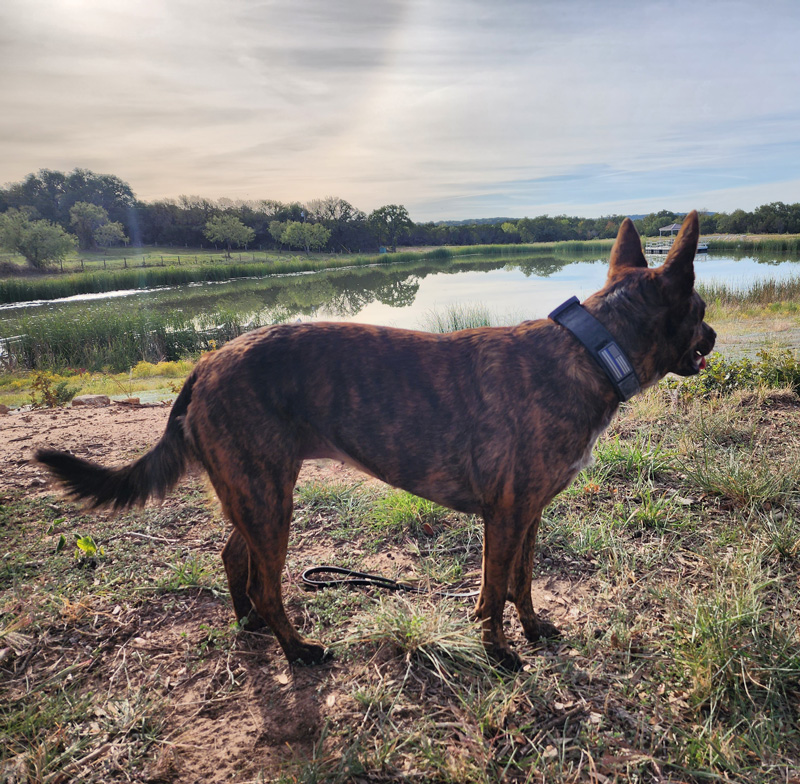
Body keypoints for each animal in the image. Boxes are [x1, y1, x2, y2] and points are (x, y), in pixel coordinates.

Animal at [34, 213, 716, 668]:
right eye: (702, 309)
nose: (711, 337)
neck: (591, 351)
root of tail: (204, 363)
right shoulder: (506, 515)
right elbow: (497, 591)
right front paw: (499, 653)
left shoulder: (528, 515)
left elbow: (517, 583)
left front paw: (532, 629)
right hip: (269, 498)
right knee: (265, 582)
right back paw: (296, 649)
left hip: (252, 493)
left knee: (235, 561)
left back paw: (251, 627)